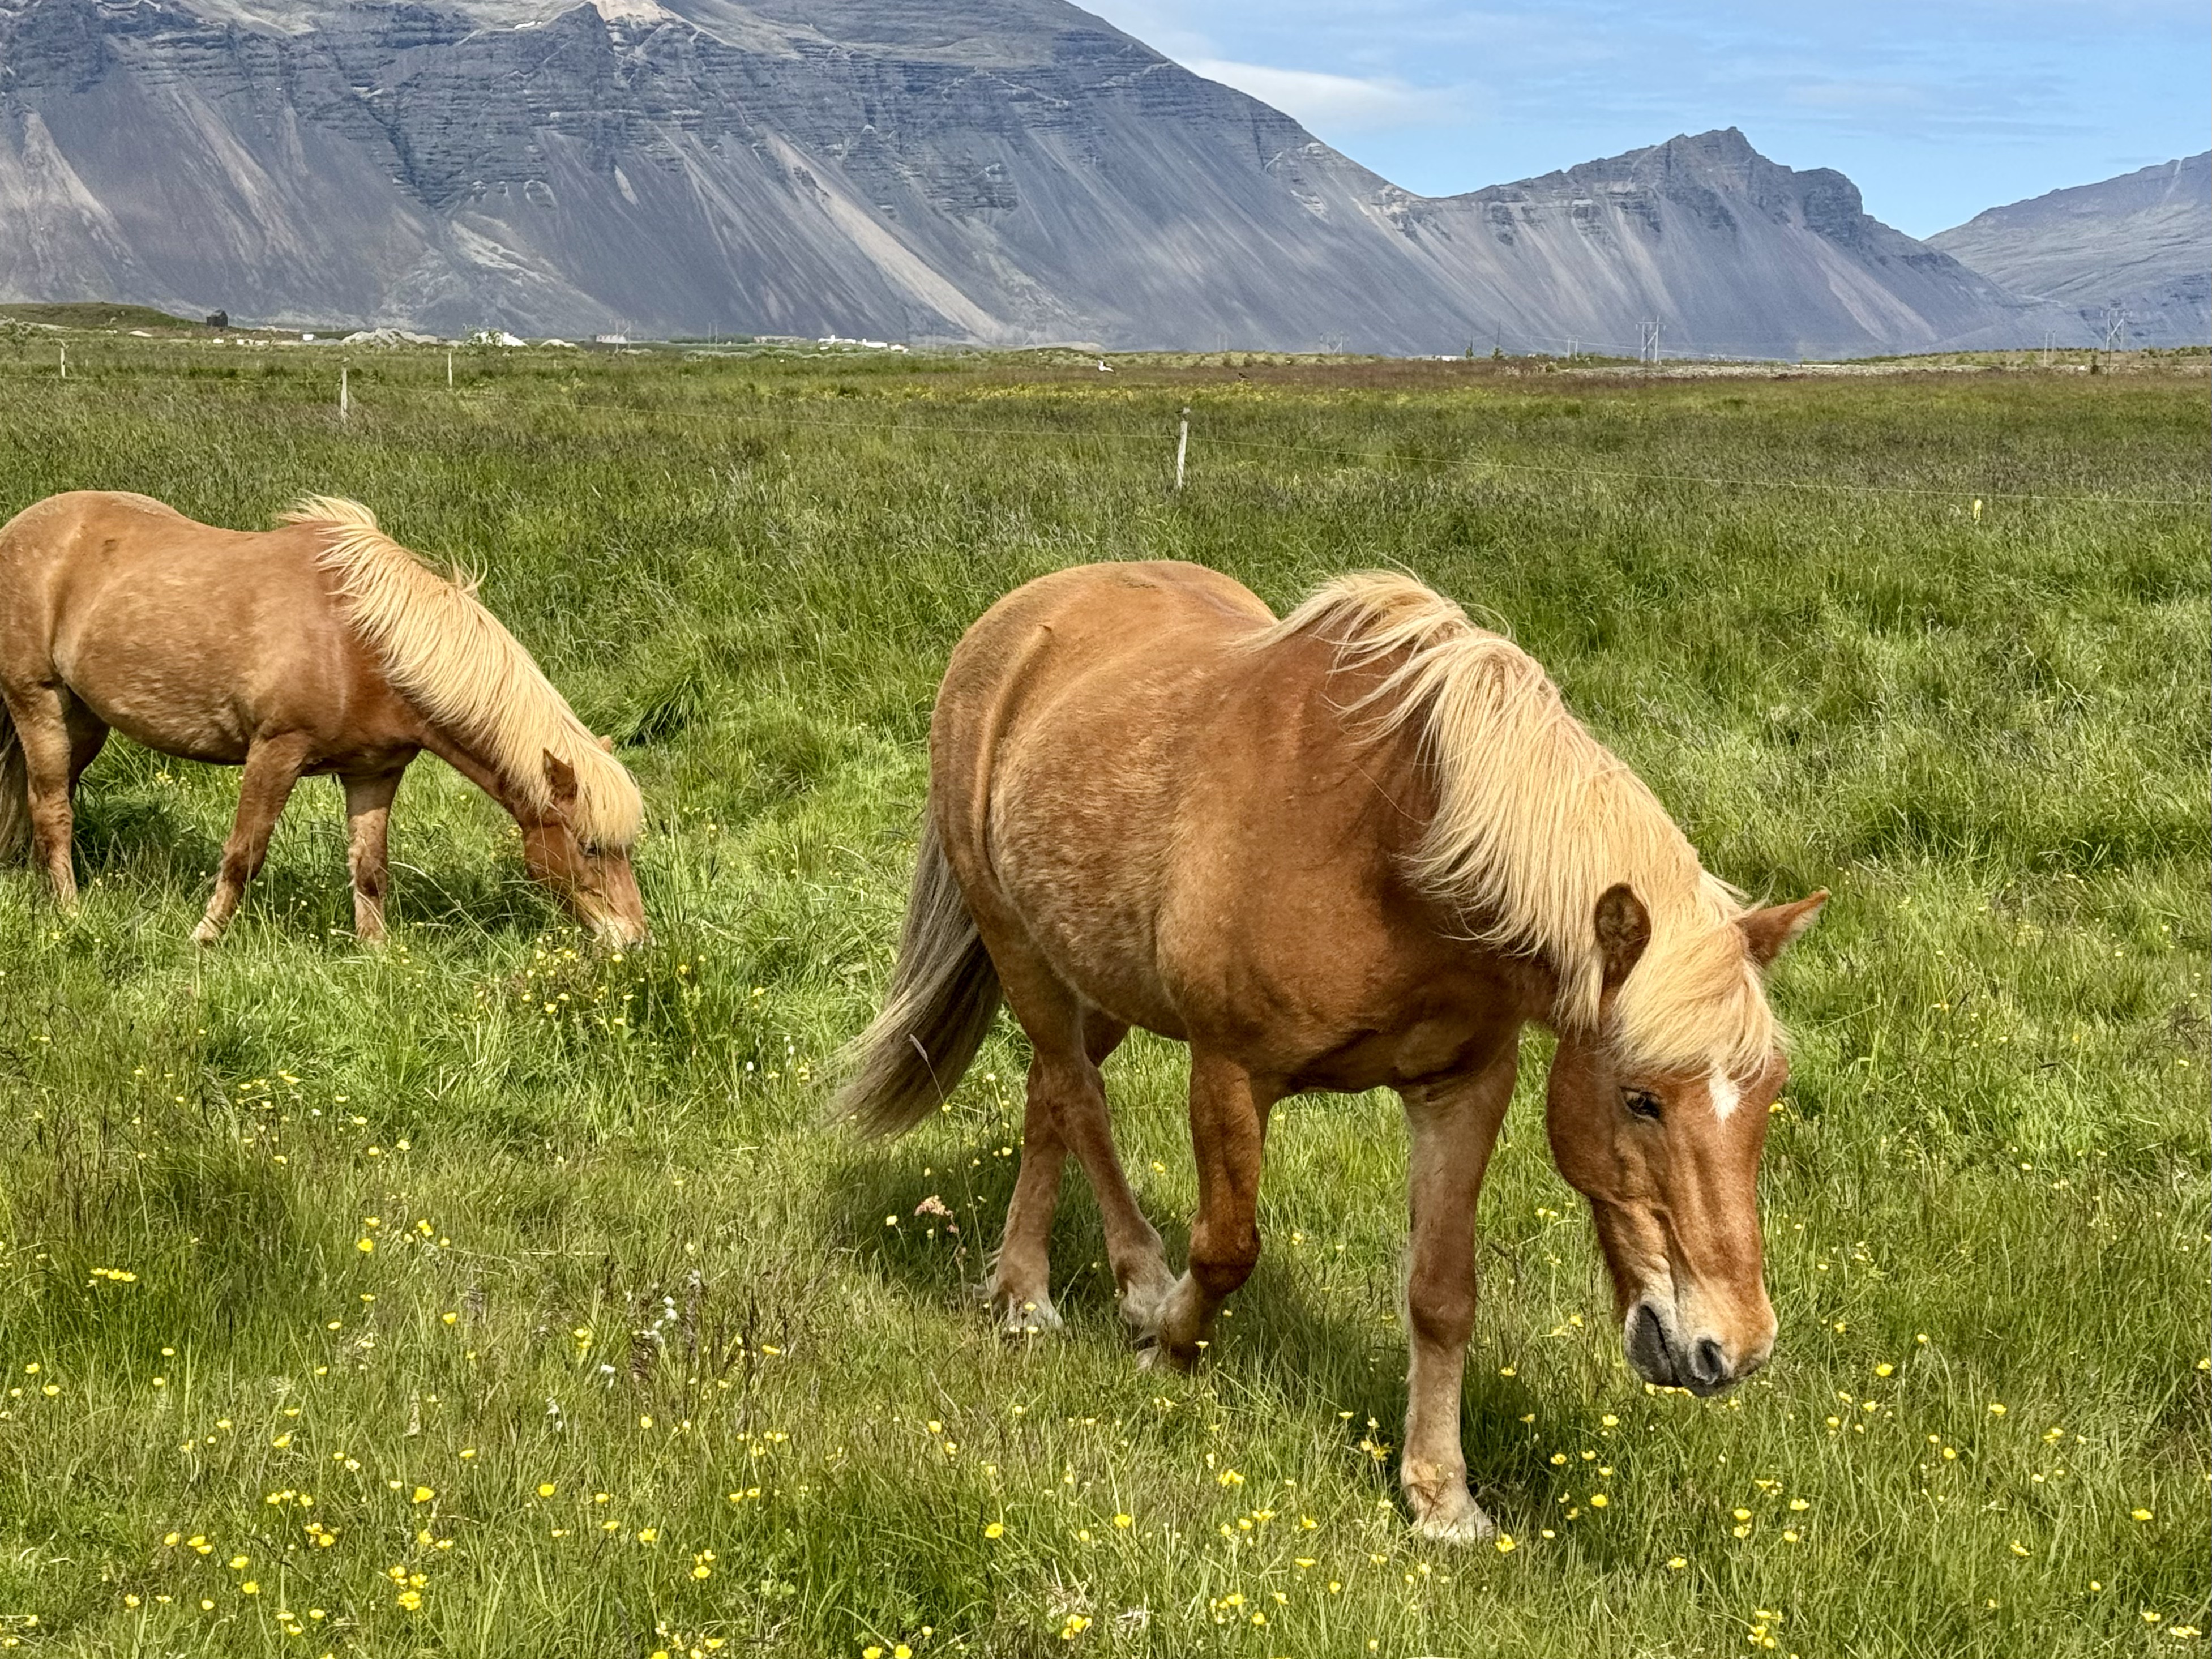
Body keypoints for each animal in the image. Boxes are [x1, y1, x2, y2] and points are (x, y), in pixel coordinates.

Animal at [0, 491, 646, 947]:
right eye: (590, 847)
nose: (633, 940)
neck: (364, 643)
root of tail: (21, 529)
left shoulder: (374, 773)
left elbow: (370, 867)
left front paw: (377, 952)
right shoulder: (275, 752)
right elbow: (243, 854)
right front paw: (204, 939)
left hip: (86, 721)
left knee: (46, 799)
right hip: (39, 703)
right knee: (52, 807)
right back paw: (69, 912)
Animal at [836, 561, 1824, 1542]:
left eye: (1767, 1095)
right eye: (1639, 1098)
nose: (1732, 1348)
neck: (1395, 851)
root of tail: (1021, 611)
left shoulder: (1463, 1088)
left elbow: (1441, 1292)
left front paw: (1440, 1495)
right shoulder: (1228, 1070)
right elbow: (1225, 1246)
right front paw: (1168, 1344)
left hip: (1093, 976)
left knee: (1050, 1094)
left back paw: (1018, 1287)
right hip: (1020, 949)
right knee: (1078, 1099)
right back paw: (1115, 1285)